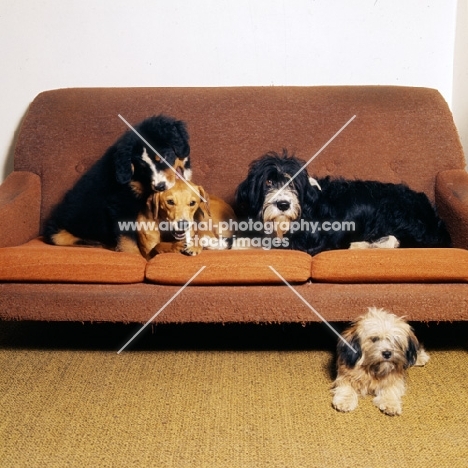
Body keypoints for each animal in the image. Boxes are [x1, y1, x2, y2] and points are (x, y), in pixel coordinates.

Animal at [43, 115, 190, 254]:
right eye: (142, 167)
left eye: (164, 156)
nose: (159, 186)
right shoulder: (120, 203)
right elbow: (127, 238)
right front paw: (132, 254)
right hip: (57, 230)